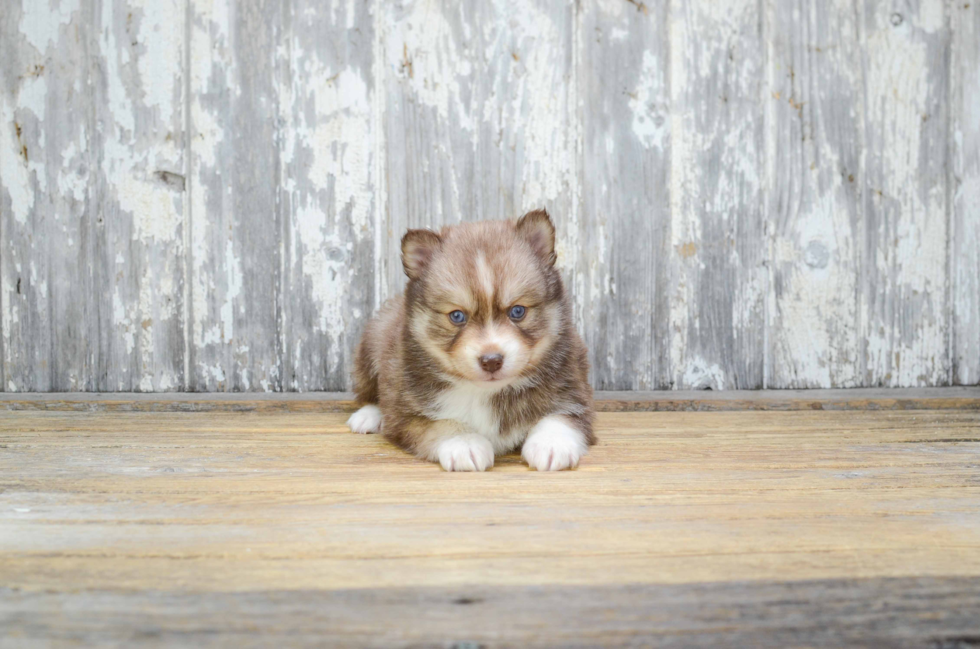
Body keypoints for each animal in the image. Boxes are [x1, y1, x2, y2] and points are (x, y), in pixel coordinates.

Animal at [348, 211, 592, 470]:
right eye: (457, 316)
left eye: (517, 311)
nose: (491, 361)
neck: (485, 393)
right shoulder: (405, 413)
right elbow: (441, 423)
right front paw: (464, 443)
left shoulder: (574, 391)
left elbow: (560, 416)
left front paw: (552, 444)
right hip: (371, 345)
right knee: (370, 393)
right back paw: (368, 416)